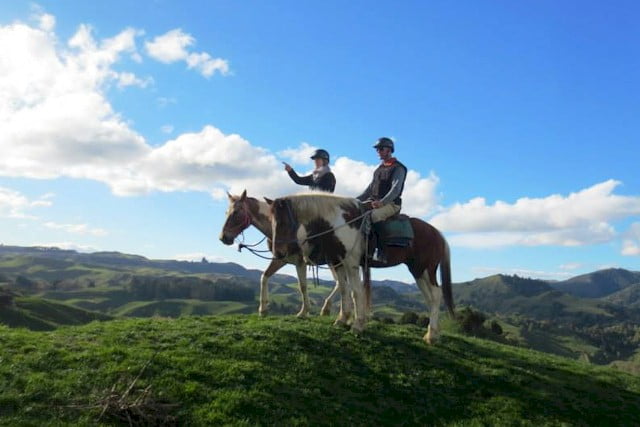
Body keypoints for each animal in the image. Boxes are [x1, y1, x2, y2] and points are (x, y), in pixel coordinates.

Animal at [270, 194, 456, 344]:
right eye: (272, 222)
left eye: (283, 222)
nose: (278, 252)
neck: (338, 224)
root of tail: (437, 234)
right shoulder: (338, 263)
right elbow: (344, 290)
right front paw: (342, 320)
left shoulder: (351, 263)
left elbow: (355, 292)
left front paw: (357, 325)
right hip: (417, 271)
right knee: (430, 298)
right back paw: (433, 333)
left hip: (425, 270)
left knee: (436, 295)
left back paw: (431, 336)